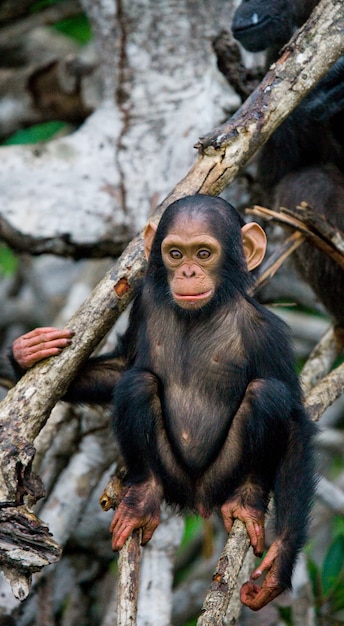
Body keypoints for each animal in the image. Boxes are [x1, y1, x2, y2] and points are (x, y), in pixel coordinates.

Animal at [8, 195, 318, 608]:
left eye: (203, 253)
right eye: (174, 253)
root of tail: (196, 500)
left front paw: (278, 564)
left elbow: (297, 423)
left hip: (223, 474)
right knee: (137, 384)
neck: (203, 314)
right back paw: (143, 497)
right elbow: (123, 368)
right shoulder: (144, 305)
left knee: (267, 394)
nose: (187, 271)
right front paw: (23, 355)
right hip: (170, 471)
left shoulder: (270, 335)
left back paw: (247, 499)